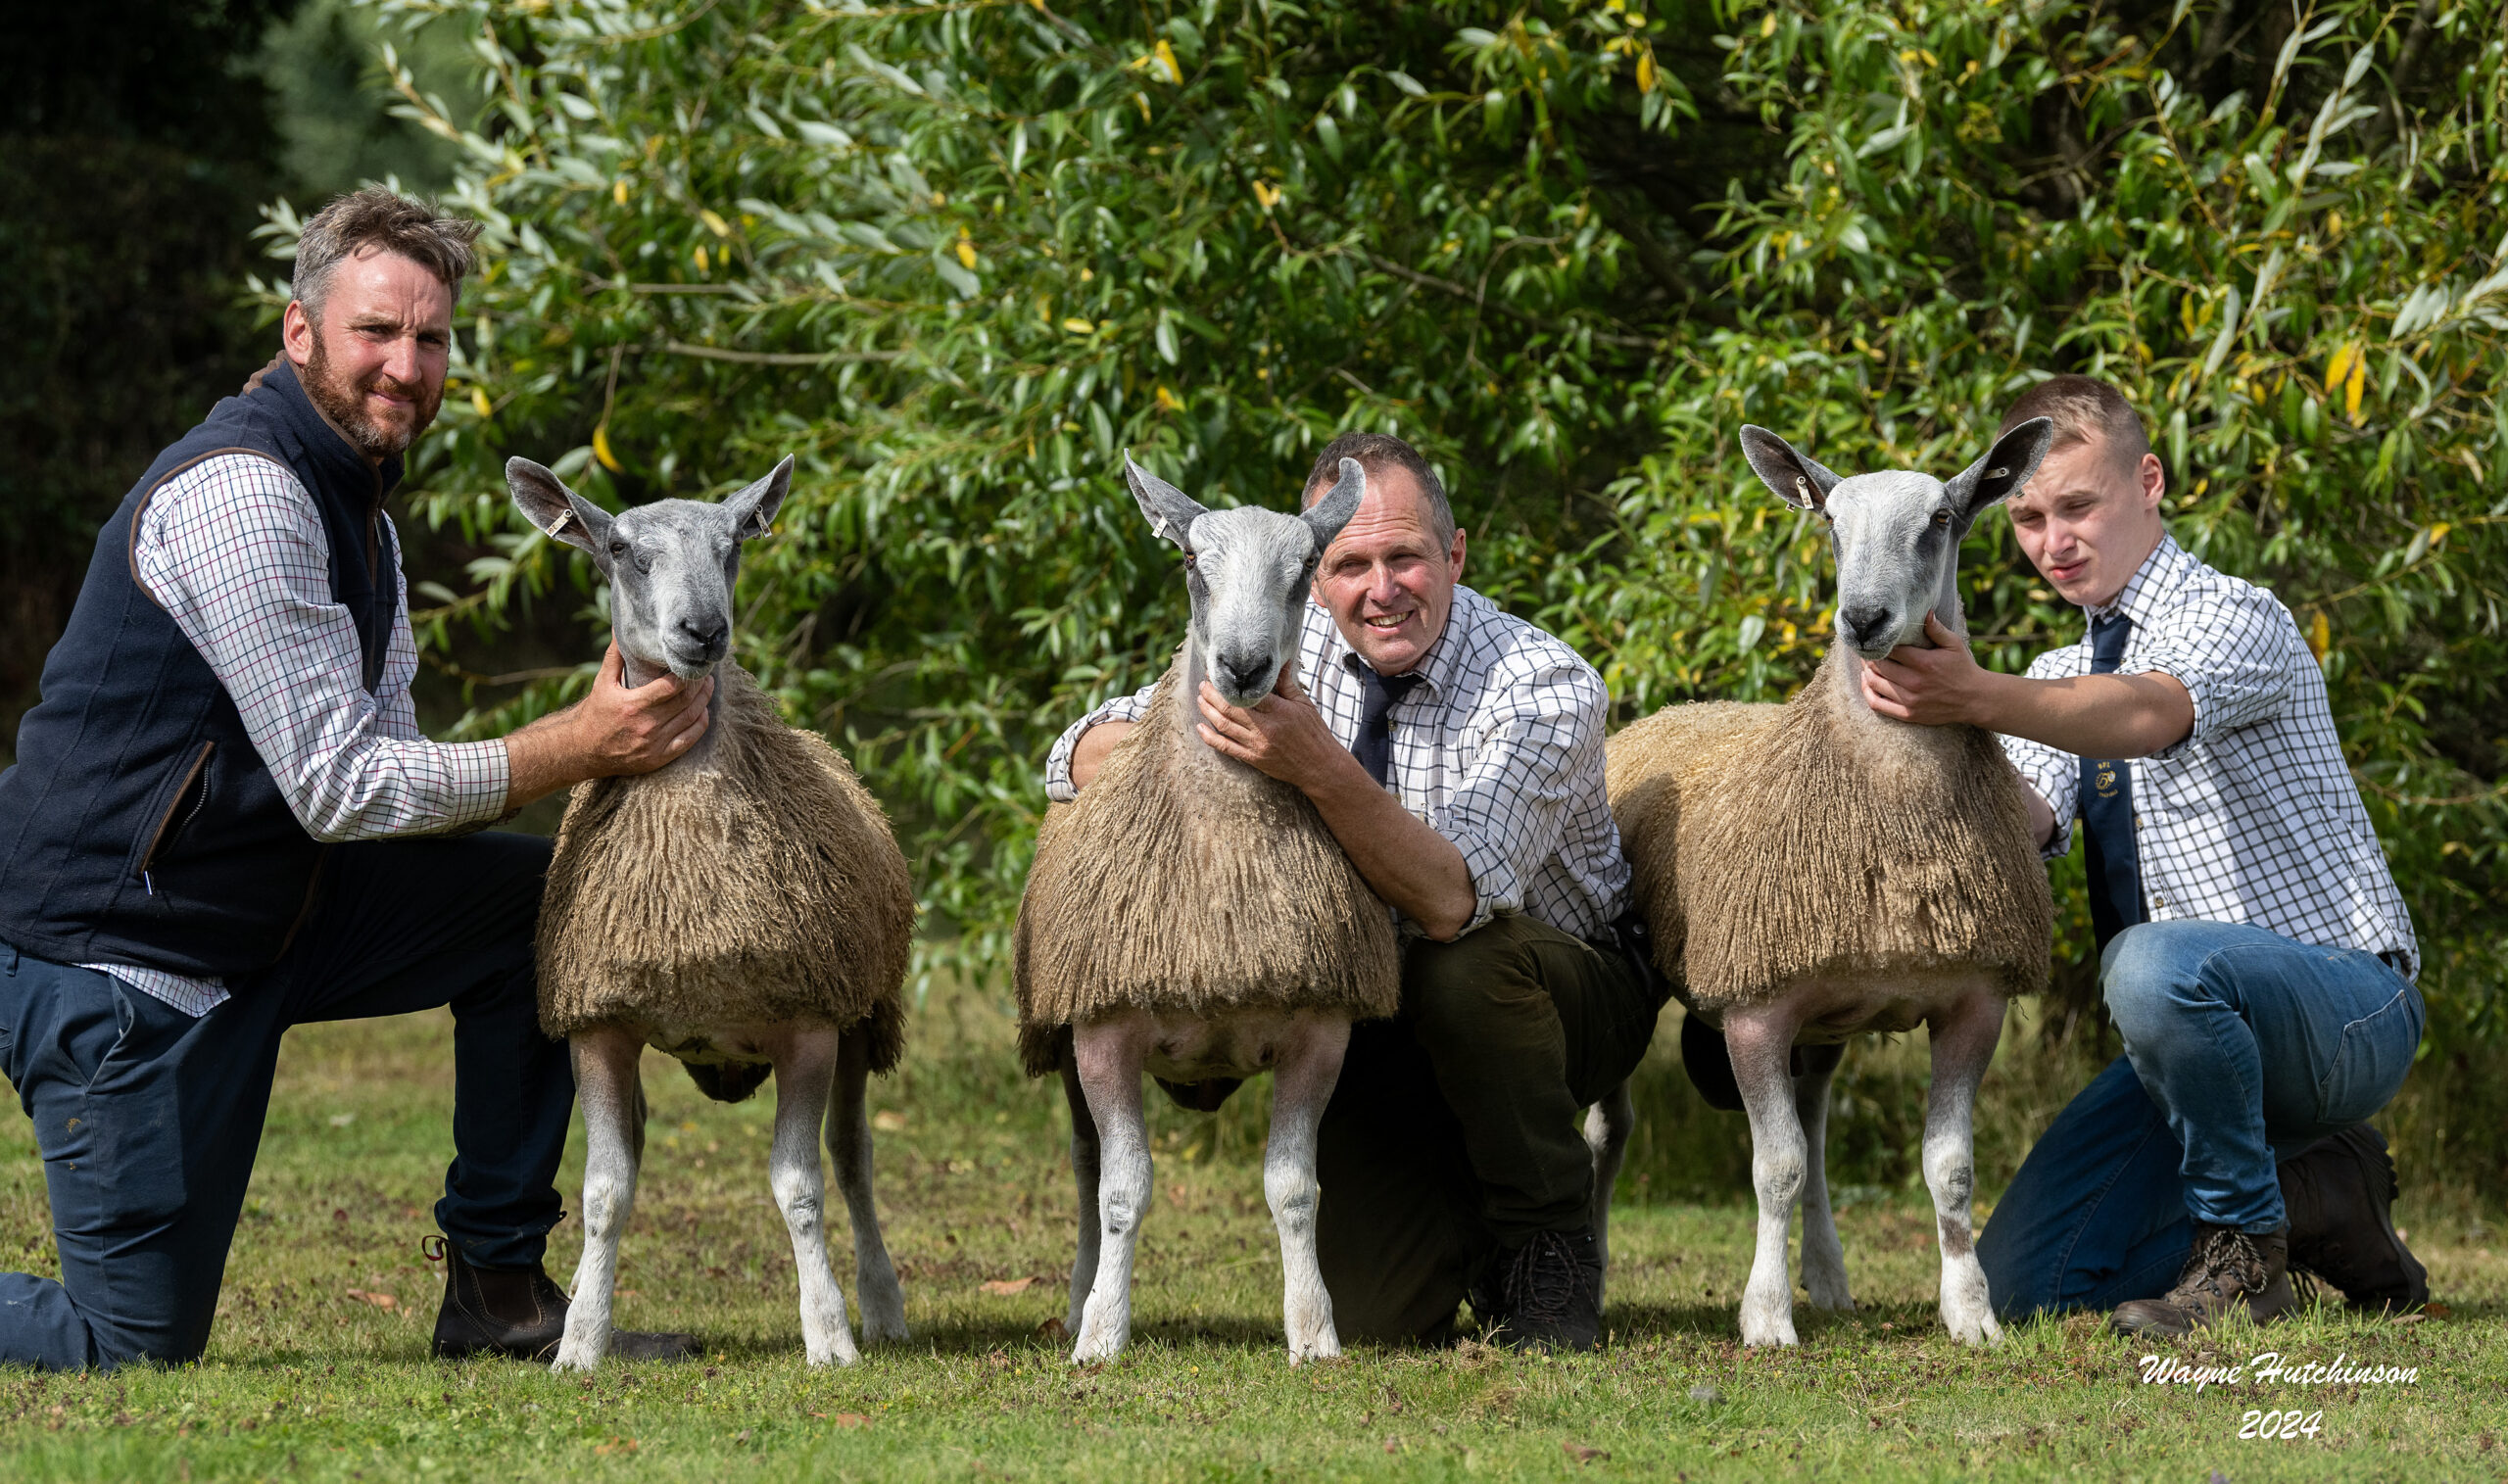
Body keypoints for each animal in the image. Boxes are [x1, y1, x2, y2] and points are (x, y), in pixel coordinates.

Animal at [496, 458, 912, 1373]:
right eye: (621, 549)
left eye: (732, 546)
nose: (703, 630)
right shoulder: (598, 1026)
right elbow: (605, 1191)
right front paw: (580, 1341)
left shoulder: (809, 1020)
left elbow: (801, 1187)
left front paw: (828, 1332)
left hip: (863, 1015)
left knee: (854, 1161)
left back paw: (882, 1303)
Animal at [1018, 455, 1414, 1364]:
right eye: (1193, 563)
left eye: (1306, 569)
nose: (1241, 664)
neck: (1223, 855)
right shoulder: (1102, 1033)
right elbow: (1122, 1191)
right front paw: (1103, 1334)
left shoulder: (1319, 1028)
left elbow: (1294, 1188)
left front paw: (1314, 1331)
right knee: (1087, 1171)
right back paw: (1078, 1301)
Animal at [1605, 413, 2056, 1343]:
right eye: (1832, 525)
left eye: (1941, 520)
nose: (1864, 617)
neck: (1892, 809)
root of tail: (1676, 710)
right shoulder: (1752, 1007)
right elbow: (1770, 1167)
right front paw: (1766, 1317)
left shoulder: (1975, 1001)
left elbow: (1949, 1169)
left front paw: (1971, 1311)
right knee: (1616, 1131)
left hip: (1826, 1016)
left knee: (1813, 1125)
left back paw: (1829, 1273)